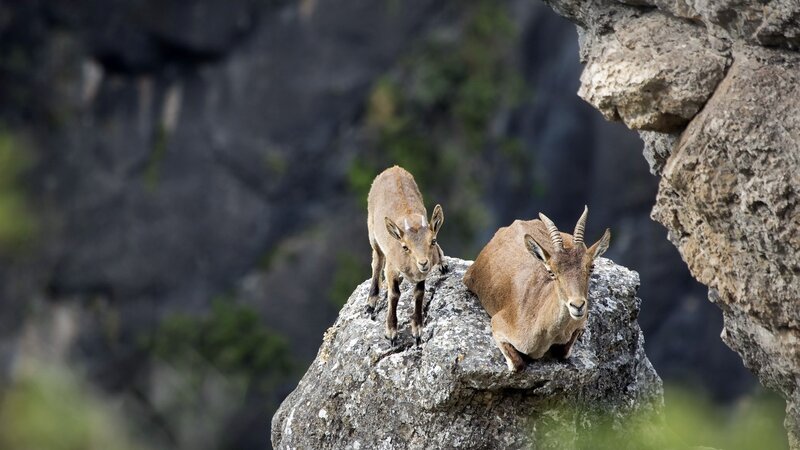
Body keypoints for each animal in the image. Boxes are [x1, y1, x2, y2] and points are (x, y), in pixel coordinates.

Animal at [366, 166, 446, 346]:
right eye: (405, 247)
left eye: (433, 240)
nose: (423, 263)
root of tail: (393, 168)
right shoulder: (391, 268)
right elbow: (394, 294)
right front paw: (391, 332)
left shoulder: (422, 275)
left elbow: (419, 293)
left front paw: (417, 330)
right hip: (372, 230)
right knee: (377, 260)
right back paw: (371, 300)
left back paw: (443, 263)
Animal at [463, 207, 610, 371]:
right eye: (551, 272)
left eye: (591, 267)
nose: (577, 305)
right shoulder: (498, 323)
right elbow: (517, 363)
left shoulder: (578, 323)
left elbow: (564, 351)